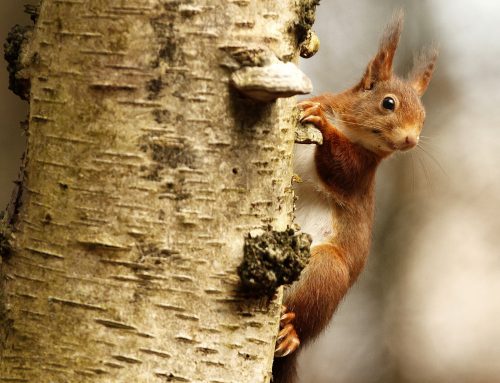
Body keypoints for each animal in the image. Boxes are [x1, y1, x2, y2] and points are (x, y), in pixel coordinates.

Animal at [272, 12, 436, 383]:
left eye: (423, 117)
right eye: (388, 103)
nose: (411, 140)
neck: (349, 127)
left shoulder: (361, 173)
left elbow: (341, 167)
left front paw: (321, 122)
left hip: (327, 272)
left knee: (303, 319)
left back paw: (290, 333)